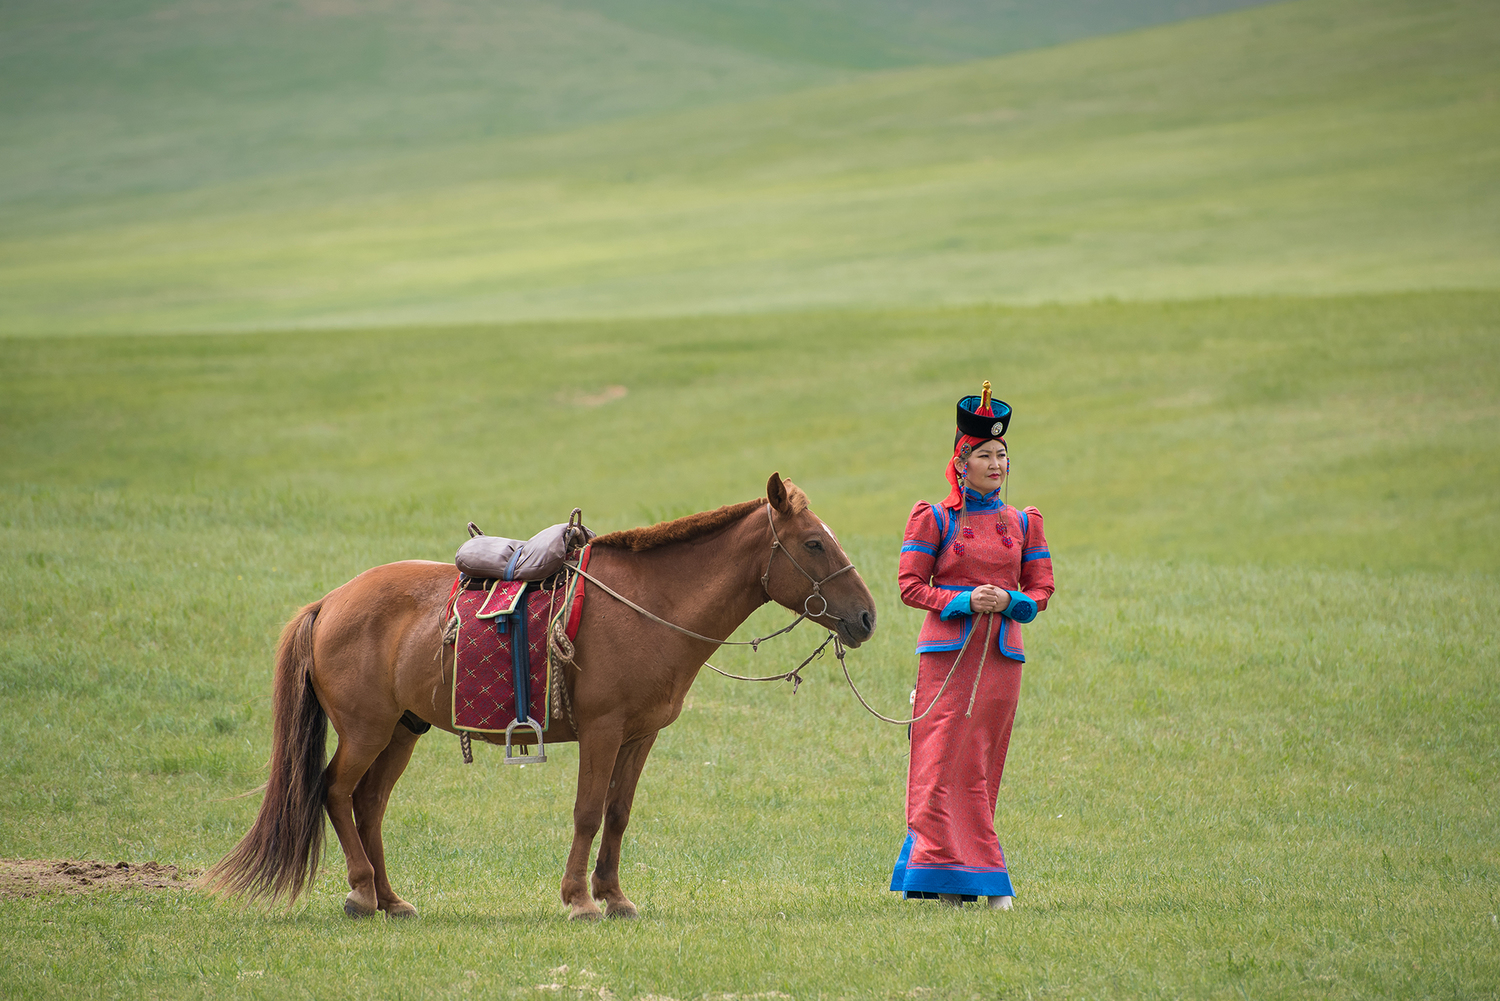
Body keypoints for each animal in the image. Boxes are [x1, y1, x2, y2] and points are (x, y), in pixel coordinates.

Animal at [202, 473, 877, 920]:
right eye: (814, 543)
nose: (867, 617)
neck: (649, 606)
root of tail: (330, 601)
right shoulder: (603, 731)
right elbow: (586, 812)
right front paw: (579, 901)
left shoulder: (639, 736)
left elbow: (617, 814)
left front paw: (614, 896)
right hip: (366, 730)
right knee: (336, 792)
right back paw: (363, 891)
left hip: (400, 731)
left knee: (368, 804)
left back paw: (392, 899)